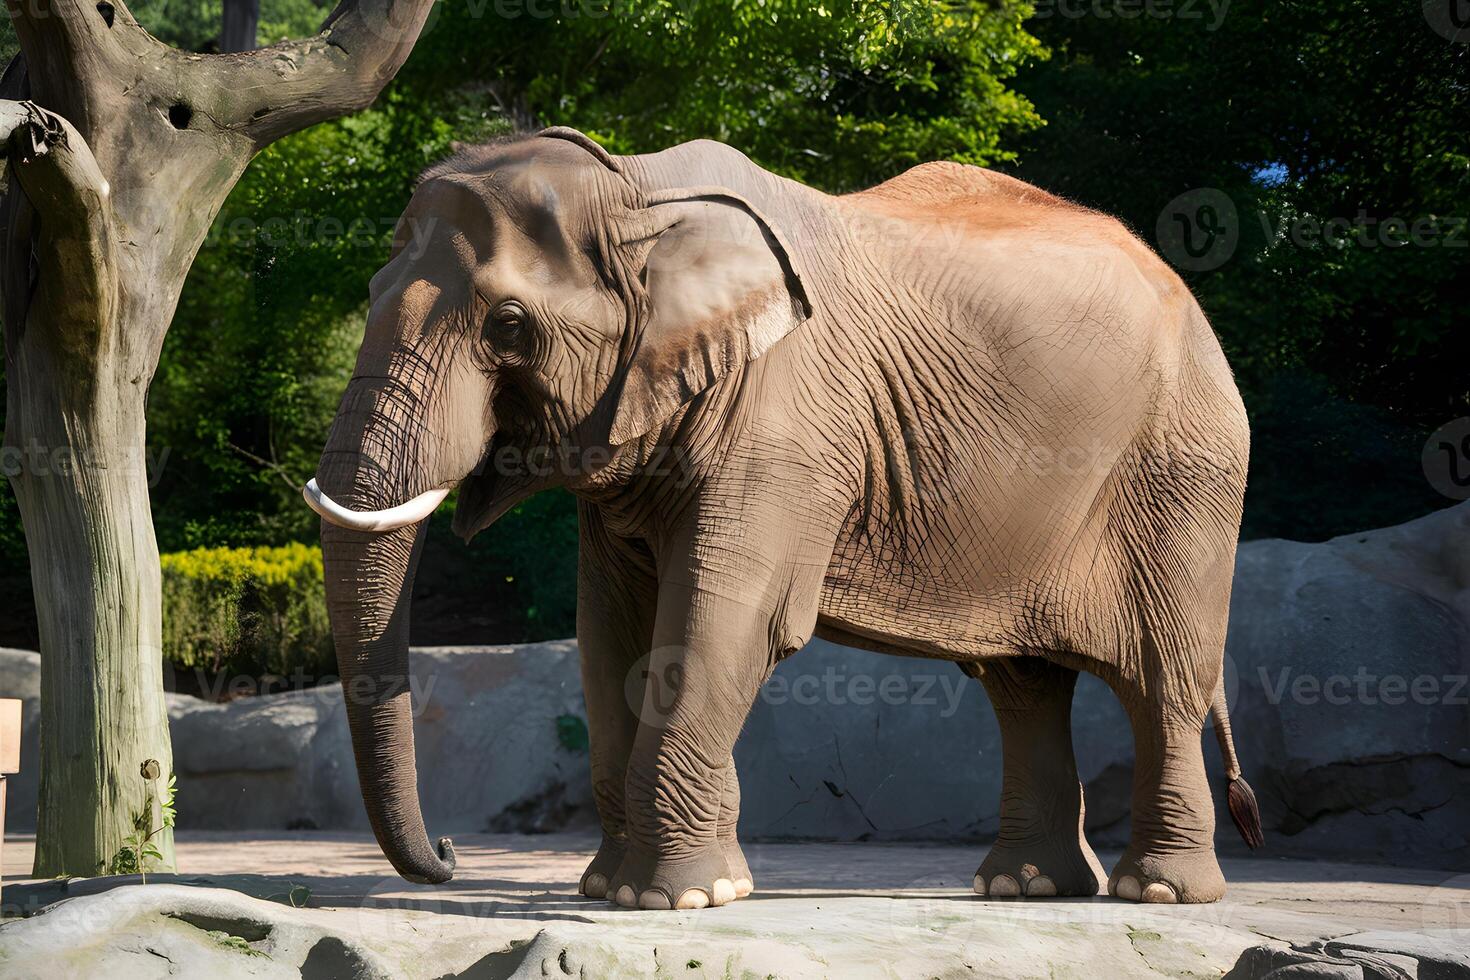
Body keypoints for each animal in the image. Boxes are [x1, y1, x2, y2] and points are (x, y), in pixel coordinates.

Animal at [301, 128, 1264, 910]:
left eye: (508, 324)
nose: (451, 855)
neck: (636, 190)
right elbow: (610, 633)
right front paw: (614, 889)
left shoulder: (785, 414)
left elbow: (726, 620)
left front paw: (677, 900)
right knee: (1021, 684)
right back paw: (1021, 888)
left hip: (1186, 466)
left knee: (1164, 680)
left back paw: (1158, 893)